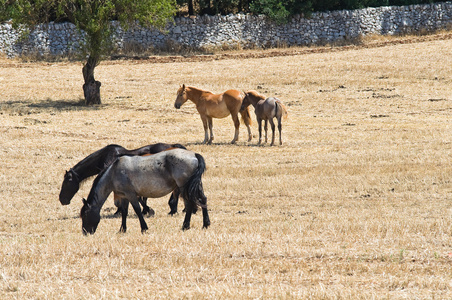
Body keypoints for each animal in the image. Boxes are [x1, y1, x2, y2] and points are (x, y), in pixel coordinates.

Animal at [80, 148, 211, 234]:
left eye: (85, 215)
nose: (85, 232)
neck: (114, 171)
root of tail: (194, 154)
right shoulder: (124, 196)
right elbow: (124, 212)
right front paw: (122, 229)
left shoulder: (131, 195)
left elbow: (137, 210)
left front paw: (144, 228)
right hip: (196, 186)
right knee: (203, 200)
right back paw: (205, 224)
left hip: (184, 188)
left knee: (189, 205)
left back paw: (185, 226)